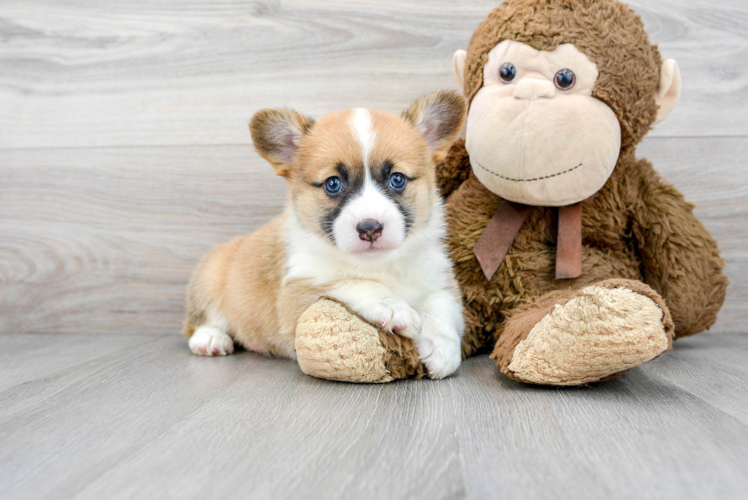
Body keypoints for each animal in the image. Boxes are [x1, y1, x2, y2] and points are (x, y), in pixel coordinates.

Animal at [184, 91, 468, 378]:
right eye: (333, 184)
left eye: (397, 179)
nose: (370, 228)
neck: (379, 264)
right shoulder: (299, 291)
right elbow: (351, 281)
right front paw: (393, 306)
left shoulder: (441, 280)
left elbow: (440, 304)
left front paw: (441, 348)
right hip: (210, 278)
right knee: (198, 322)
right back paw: (210, 339)